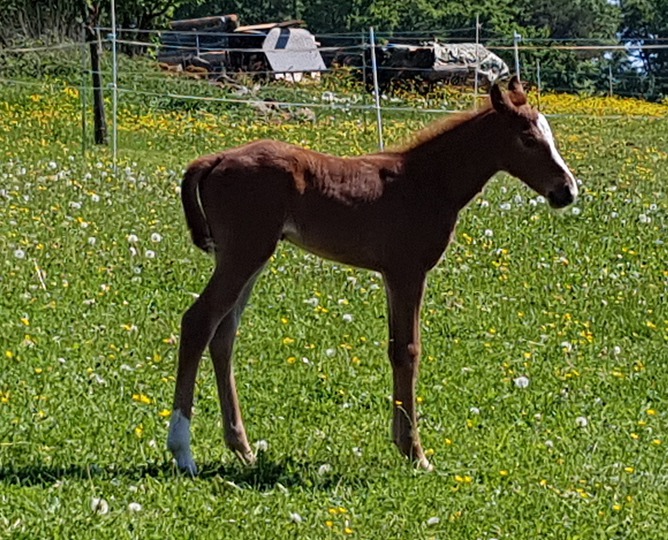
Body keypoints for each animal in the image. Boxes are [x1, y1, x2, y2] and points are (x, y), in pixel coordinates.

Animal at [167, 77, 579, 474]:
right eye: (528, 139)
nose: (567, 191)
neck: (427, 182)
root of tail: (217, 158)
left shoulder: (390, 275)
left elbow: (396, 348)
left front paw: (402, 443)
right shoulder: (407, 271)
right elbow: (409, 350)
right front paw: (416, 453)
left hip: (248, 258)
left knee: (224, 335)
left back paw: (243, 449)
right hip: (244, 253)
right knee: (198, 322)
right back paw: (183, 452)